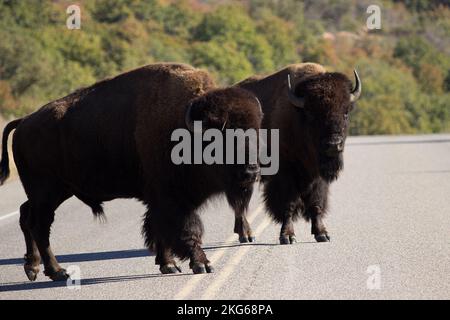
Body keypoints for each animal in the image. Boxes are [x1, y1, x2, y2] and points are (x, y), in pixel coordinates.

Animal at [0, 63, 262, 282]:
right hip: (46, 192)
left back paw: (33, 268)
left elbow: (158, 229)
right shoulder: (172, 199)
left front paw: (168, 265)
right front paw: (202, 264)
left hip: (57, 191)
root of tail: (24, 122)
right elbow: (187, 229)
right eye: (220, 138)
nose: (251, 171)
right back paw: (57, 272)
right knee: (39, 225)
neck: (183, 126)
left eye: (255, 132)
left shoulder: (161, 200)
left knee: (26, 216)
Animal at [234, 64, 360, 245]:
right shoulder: (285, 174)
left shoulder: (317, 176)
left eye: (346, 112)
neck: (298, 117)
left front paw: (322, 234)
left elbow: (316, 203)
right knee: (239, 203)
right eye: (313, 114)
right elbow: (289, 203)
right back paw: (246, 235)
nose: (333, 145)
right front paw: (287, 236)